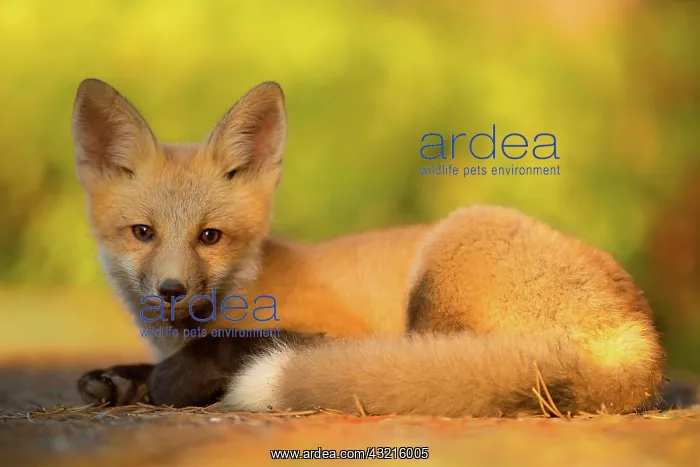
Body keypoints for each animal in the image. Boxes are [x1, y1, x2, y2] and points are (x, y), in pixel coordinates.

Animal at [73, 78, 666, 417]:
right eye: (142, 232)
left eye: (210, 236)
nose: (171, 290)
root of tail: (643, 341)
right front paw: (123, 379)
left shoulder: (330, 329)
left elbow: (229, 345)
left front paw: (170, 380)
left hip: (444, 259)